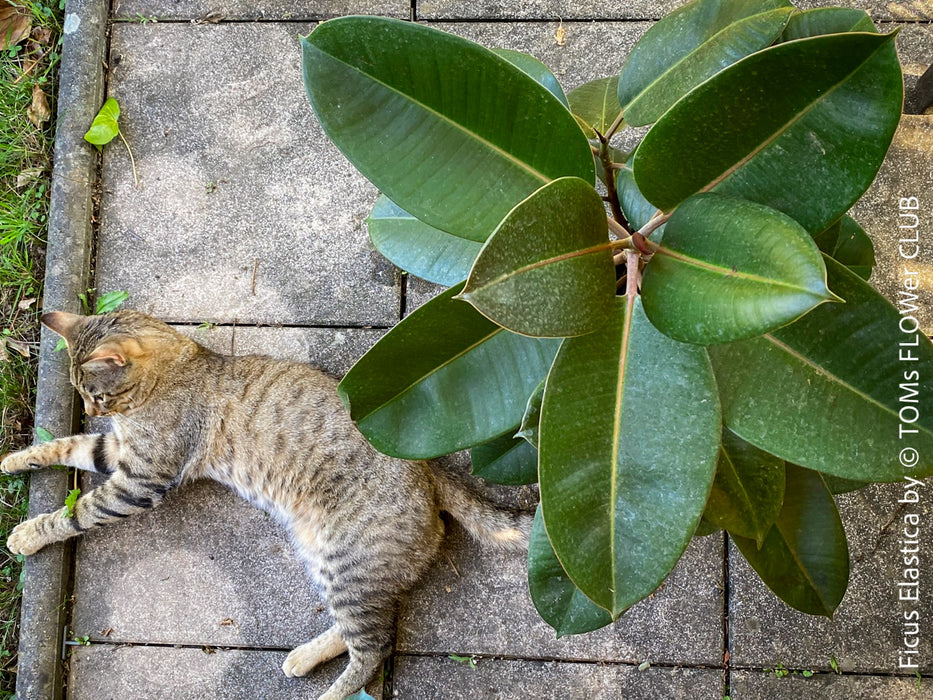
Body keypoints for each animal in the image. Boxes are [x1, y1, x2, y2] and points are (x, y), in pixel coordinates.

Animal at [1, 312, 532, 700]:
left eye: (95, 393)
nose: (93, 410)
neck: (176, 368)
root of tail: (429, 470)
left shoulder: (142, 478)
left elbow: (78, 512)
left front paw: (29, 533)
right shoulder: (116, 452)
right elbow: (67, 445)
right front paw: (16, 458)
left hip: (352, 565)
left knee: (374, 648)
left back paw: (327, 696)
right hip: (324, 556)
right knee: (356, 632)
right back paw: (303, 657)